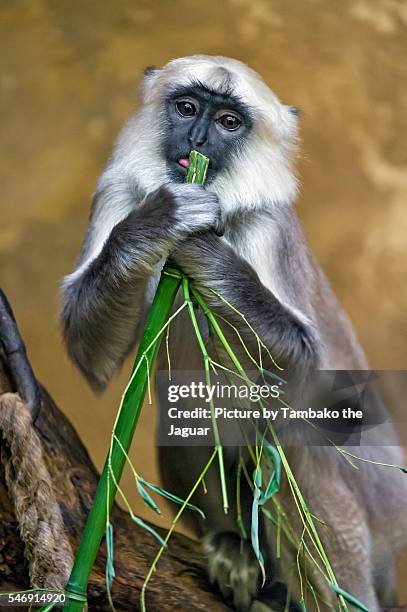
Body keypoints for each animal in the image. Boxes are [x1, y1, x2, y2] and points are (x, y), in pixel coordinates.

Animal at [61, 55, 407, 608]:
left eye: (228, 122)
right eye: (187, 109)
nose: (199, 139)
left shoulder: (267, 223)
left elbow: (305, 372)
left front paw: (202, 247)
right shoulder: (117, 190)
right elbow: (91, 354)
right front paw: (161, 224)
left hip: (385, 509)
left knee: (293, 434)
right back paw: (234, 546)